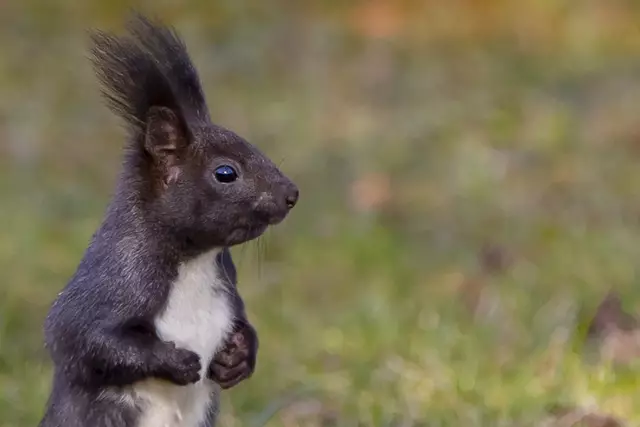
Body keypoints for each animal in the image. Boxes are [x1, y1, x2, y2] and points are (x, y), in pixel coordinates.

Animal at [37, 13, 298, 427]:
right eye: (225, 173)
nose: (291, 194)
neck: (195, 261)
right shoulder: (116, 279)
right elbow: (84, 339)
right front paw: (177, 361)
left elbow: (243, 323)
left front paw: (237, 357)